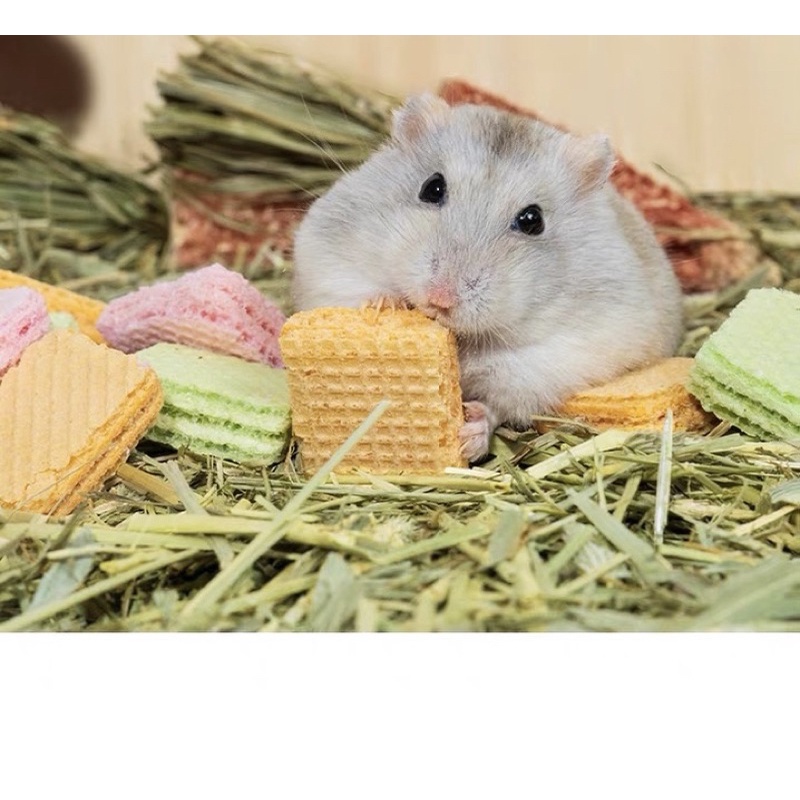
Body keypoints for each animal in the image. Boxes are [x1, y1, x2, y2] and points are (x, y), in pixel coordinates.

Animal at [291, 93, 684, 461]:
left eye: (532, 220)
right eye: (432, 187)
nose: (440, 299)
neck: (462, 337)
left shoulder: (555, 358)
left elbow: (499, 401)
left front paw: (471, 433)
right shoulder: (325, 261)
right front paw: (386, 305)